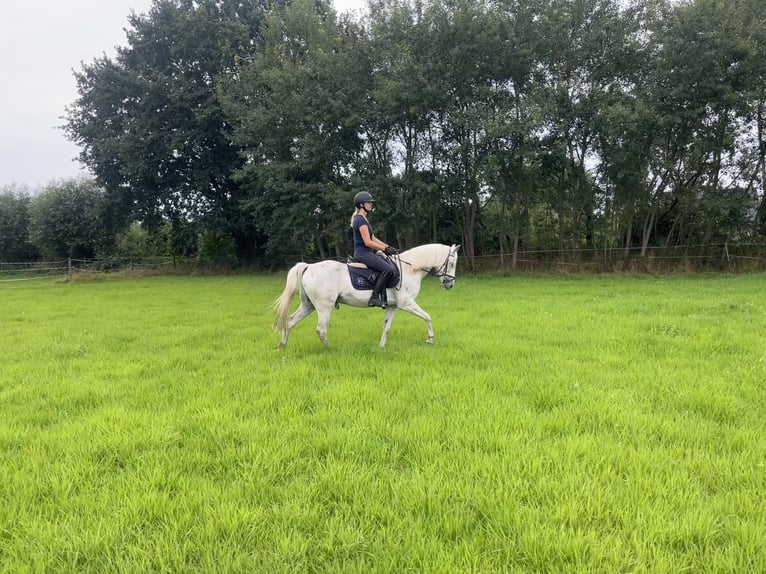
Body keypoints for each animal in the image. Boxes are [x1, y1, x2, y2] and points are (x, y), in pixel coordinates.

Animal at [276, 244, 462, 348]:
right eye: (452, 263)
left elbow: (386, 327)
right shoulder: (406, 303)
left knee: (291, 321)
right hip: (324, 307)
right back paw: (329, 349)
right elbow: (427, 317)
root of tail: (309, 266)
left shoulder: (393, 307)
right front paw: (430, 340)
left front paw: (381, 347)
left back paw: (282, 345)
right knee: (321, 329)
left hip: (308, 305)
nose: (450, 285)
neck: (410, 269)